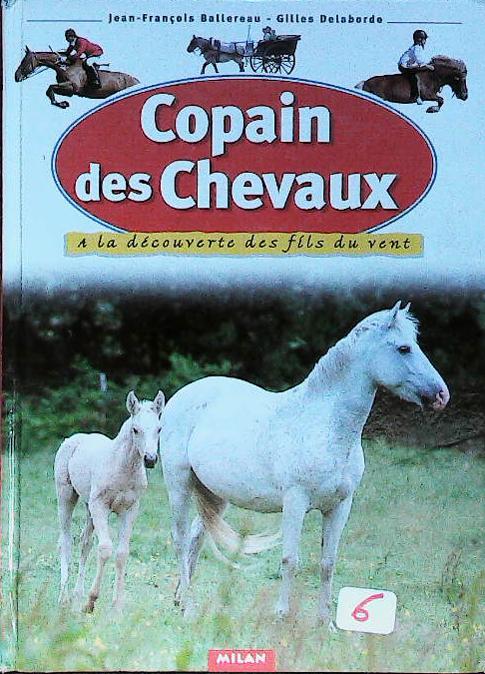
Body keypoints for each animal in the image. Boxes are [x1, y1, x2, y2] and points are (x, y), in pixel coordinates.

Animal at [54, 390, 165, 612]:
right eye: (135, 429)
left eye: (159, 429)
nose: (150, 459)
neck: (122, 468)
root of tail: (74, 438)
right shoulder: (101, 507)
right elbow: (105, 549)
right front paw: (91, 601)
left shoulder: (130, 509)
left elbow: (122, 553)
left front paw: (117, 606)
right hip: (66, 496)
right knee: (65, 541)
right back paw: (64, 598)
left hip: (88, 507)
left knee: (85, 543)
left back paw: (77, 595)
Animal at [160, 302, 449, 625]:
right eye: (403, 348)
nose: (441, 396)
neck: (325, 425)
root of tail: (184, 394)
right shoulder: (295, 502)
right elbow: (290, 560)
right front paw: (282, 616)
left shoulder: (340, 507)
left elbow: (327, 562)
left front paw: (326, 622)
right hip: (179, 485)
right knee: (180, 538)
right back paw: (189, 607)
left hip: (215, 494)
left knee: (196, 537)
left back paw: (181, 600)